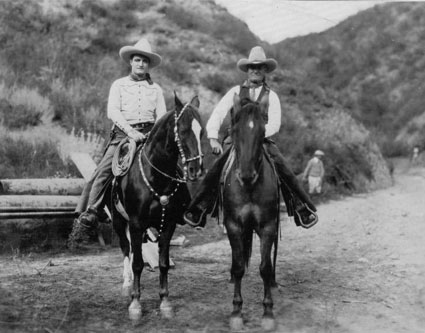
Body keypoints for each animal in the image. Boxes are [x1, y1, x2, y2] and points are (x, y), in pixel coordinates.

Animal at [111, 92, 204, 322]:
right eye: (184, 130)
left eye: (202, 131)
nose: (196, 169)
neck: (156, 176)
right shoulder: (136, 224)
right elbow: (137, 264)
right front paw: (135, 304)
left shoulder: (168, 225)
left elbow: (163, 263)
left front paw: (165, 302)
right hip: (119, 221)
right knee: (125, 249)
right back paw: (127, 284)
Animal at [220, 92, 280, 330]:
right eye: (235, 130)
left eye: (262, 132)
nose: (246, 175)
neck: (249, 188)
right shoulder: (234, 225)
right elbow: (238, 266)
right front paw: (236, 311)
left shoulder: (268, 226)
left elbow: (264, 267)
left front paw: (268, 312)